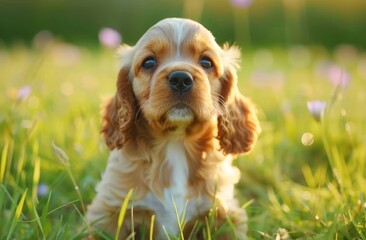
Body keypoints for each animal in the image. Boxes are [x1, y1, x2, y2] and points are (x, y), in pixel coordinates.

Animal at [87, 17, 260, 239]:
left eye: (206, 62)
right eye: (149, 62)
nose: (180, 78)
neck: (175, 142)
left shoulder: (224, 214)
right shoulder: (109, 209)